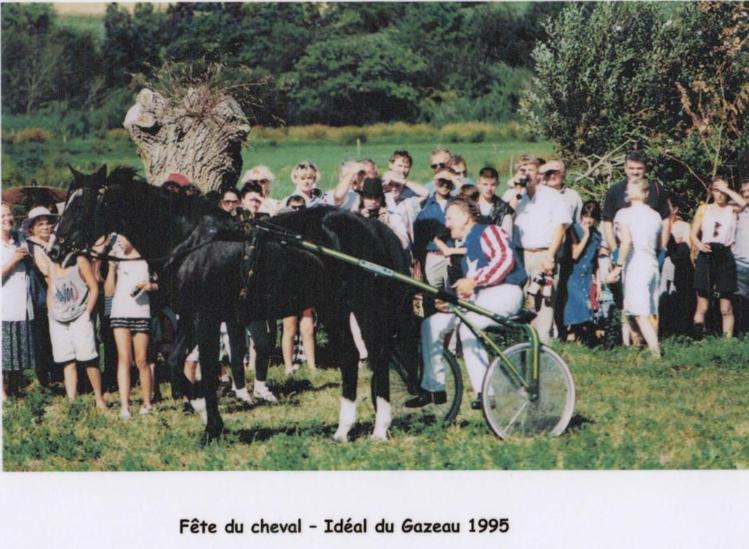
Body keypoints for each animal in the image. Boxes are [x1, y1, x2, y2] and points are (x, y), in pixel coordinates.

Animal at [49, 166, 418, 440]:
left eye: (82, 204)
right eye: (65, 202)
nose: (54, 248)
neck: (190, 240)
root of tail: (371, 225)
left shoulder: (208, 317)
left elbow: (206, 366)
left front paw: (211, 424)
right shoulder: (190, 316)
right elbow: (177, 364)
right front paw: (203, 412)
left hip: (363, 305)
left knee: (376, 354)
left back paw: (379, 429)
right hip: (334, 307)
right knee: (352, 356)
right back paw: (343, 430)